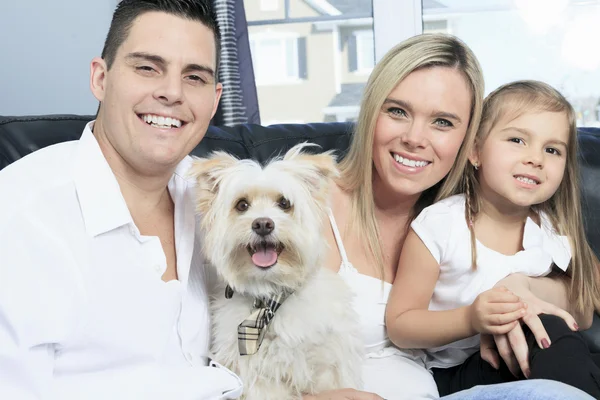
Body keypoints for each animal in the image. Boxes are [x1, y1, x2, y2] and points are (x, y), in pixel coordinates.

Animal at [190, 145, 364, 400]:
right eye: (242, 205)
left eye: (284, 203)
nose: (262, 224)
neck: (271, 297)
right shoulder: (257, 376)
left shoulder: (328, 364)